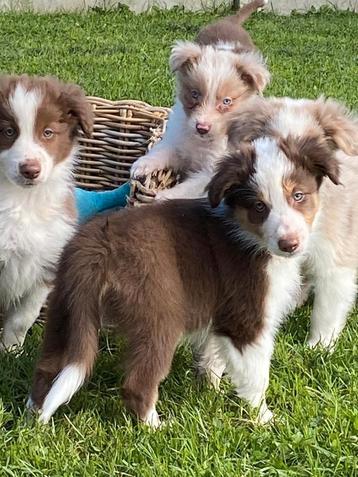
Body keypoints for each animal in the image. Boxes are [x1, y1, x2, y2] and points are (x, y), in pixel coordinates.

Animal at [0, 74, 93, 350]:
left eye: (48, 132)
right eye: (8, 131)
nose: (30, 170)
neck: (21, 200)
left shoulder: (45, 265)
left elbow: (22, 318)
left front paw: (11, 352)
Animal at [129, 0, 268, 200]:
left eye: (226, 101)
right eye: (194, 94)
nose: (202, 128)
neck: (201, 141)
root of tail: (232, 21)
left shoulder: (211, 171)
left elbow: (185, 189)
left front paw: (161, 197)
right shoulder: (178, 141)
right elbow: (162, 150)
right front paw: (142, 164)